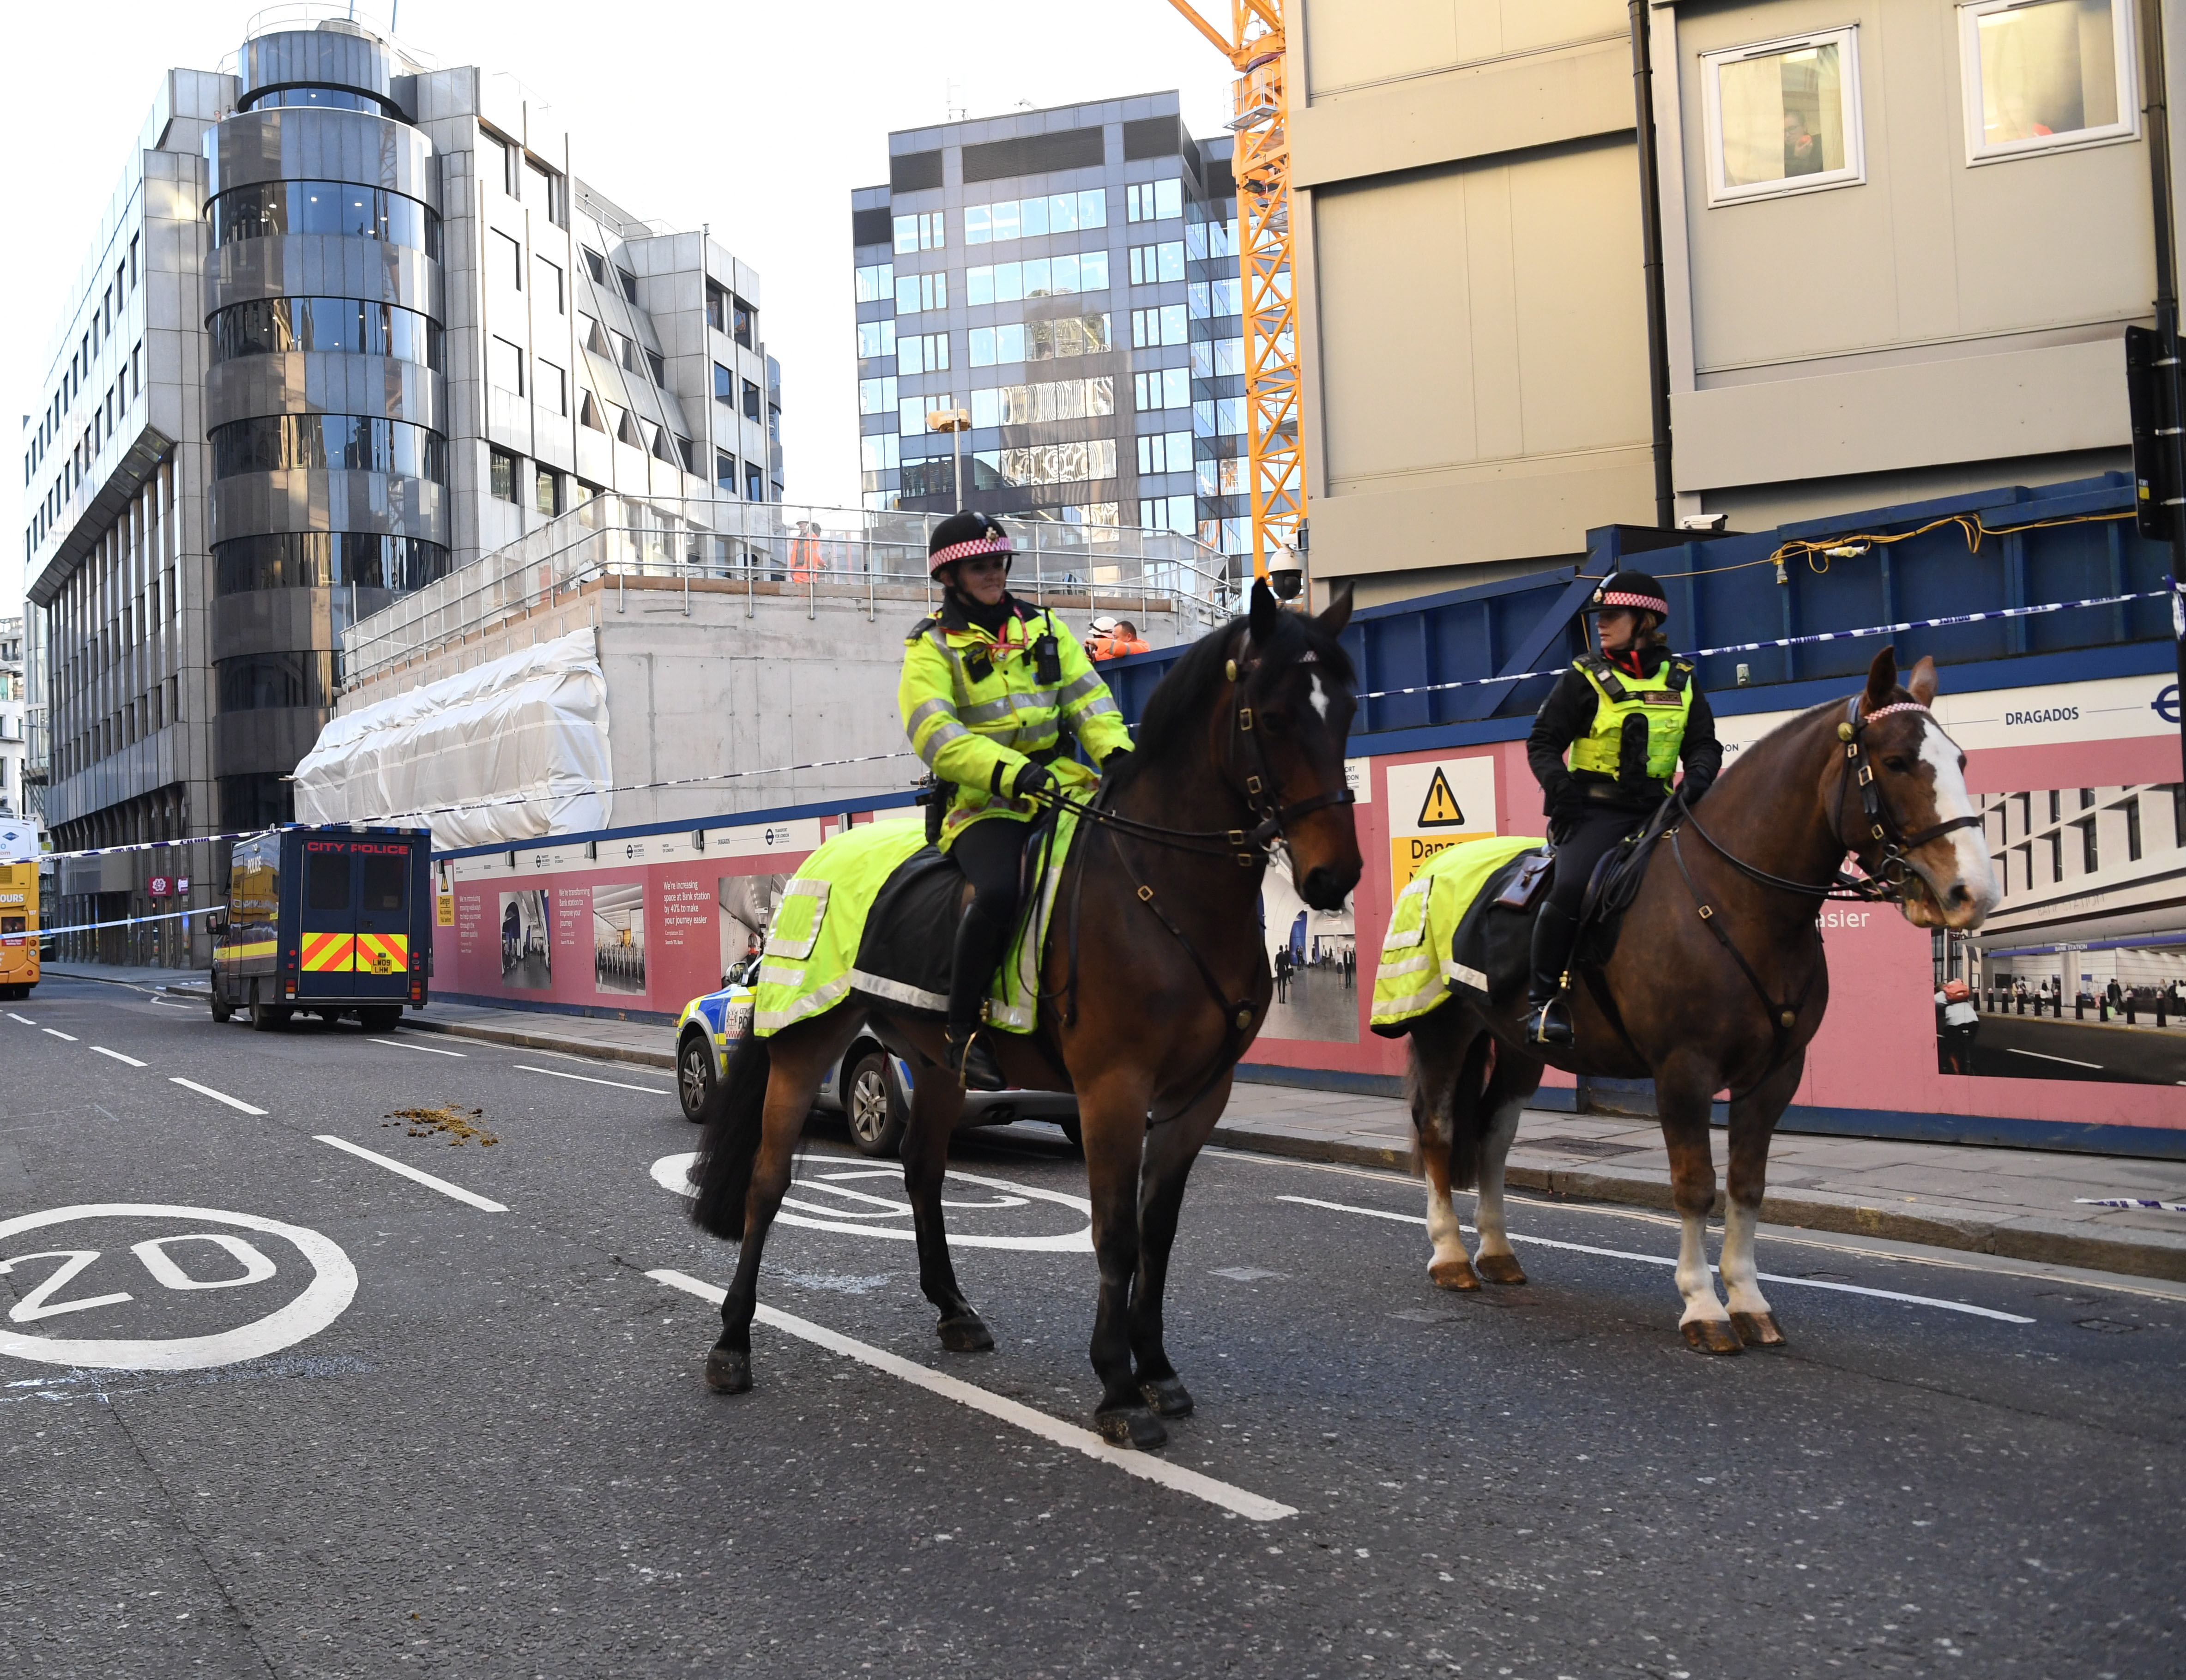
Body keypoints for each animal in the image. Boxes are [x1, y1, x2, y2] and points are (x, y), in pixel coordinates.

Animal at [690, 586, 1355, 1444]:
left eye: (1346, 708)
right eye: (1270, 717)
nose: (1334, 874)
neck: (1163, 887)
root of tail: (820, 855)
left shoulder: (1200, 1095)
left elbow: (1158, 1230)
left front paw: (1156, 1370)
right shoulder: (1113, 1087)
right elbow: (1115, 1233)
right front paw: (1117, 1388)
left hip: (936, 1063)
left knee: (922, 1171)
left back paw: (953, 1309)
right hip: (807, 1045)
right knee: (768, 1183)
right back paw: (732, 1344)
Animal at [1399, 647, 2002, 1347]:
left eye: (1961, 760)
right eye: (1899, 761)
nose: (1971, 892)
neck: (1738, 899)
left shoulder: (1775, 1074)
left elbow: (1746, 1184)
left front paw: (1748, 1299)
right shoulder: (1683, 1069)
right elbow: (1694, 1186)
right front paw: (1703, 1306)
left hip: (1517, 1045)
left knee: (1495, 1134)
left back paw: (1496, 1252)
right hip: (1442, 1032)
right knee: (1439, 1129)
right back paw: (1448, 1255)